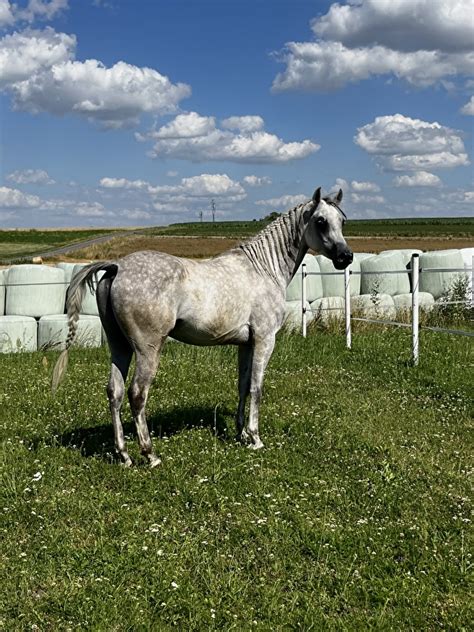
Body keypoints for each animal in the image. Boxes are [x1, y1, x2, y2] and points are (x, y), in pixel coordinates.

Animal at [54, 185, 352, 466]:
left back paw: (124, 455)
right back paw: (150, 455)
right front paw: (255, 438)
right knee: (137, 394)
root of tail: (117, 267)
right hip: (147, 350)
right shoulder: (265, 340)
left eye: (342, 220)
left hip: (120, 347)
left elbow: (243, 385)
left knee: (114, 392)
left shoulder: (246, 344)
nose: (346, 257)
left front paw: (241, 434)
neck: (263, 269)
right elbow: (257, 388)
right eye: (321, 221)